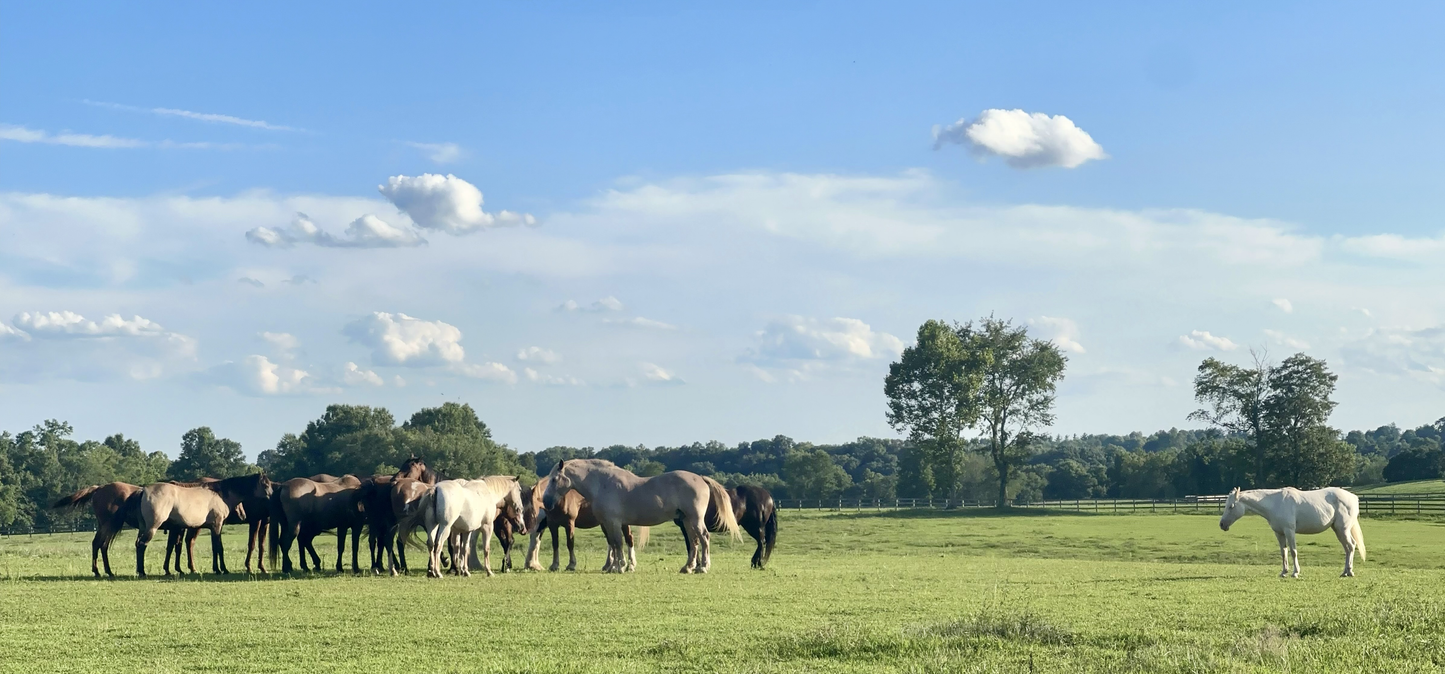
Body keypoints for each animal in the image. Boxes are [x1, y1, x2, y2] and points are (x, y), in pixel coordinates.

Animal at [542, 459, 739, 574]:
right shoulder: (608, 523)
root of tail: (700, 478)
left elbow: (618, 543)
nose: (546, 502)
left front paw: (620, 566)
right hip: (686, 520)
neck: (602, 484)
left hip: (695, 519)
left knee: (704, 538)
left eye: (554, 479)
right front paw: (615, 566)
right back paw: (688, 567)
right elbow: (614, 544)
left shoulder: (614, 522)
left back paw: (703, 567)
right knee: (694, 541)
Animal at [1219, 486, 1367, 577]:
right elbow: (1283, 552)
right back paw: (1345, 572)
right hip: (1338, 530)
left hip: (1343, 529)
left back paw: (1349, 572)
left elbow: (1293, 551)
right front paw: (1284, 572)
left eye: (1231, 506)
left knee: (1351, 546)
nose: (1222, 525)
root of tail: (1353, 497)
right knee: (1348, 548)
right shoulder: (1279, 533)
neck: (1275, 503)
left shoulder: (1289, 531)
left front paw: (1295, 572)